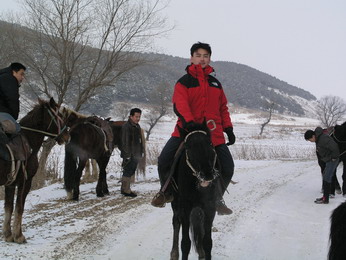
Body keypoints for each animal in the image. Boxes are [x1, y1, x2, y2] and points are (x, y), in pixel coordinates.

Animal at [0, 98, 69, 244]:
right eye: (59, 116)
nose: (67, 136)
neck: (28, 141)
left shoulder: (10, 184)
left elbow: (8, 207)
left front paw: (8, 234)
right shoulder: (25, 182)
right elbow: (19, 207)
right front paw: (19, 235)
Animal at [170, 122, 219, 260]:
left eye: (210, 143)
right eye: (188, 146)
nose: (207, 174)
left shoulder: (210, 207)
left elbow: (207, 242)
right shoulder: (185, 209)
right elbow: (185, 243)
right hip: (175, 203)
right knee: (176, 222)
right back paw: (174, 254)